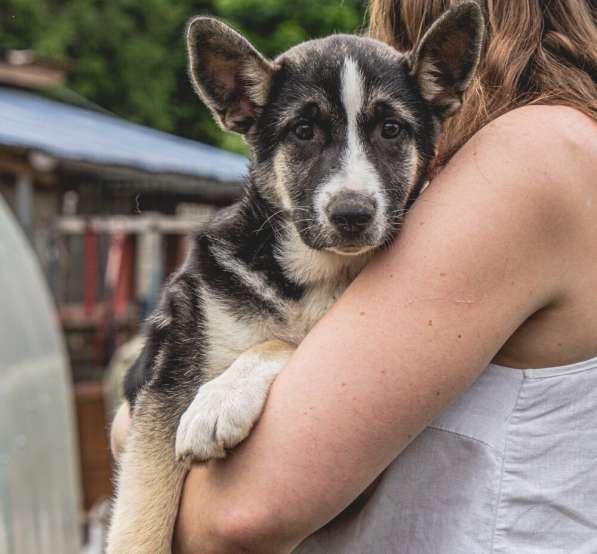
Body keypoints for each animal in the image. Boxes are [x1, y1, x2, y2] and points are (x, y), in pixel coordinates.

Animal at [106, 3, 480, 548]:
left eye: (391, 130)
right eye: (303, 132)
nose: (352, 214)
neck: (314, 273)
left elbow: (282, 342)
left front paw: (220, 400)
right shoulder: (165, 380)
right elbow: (143, 517)